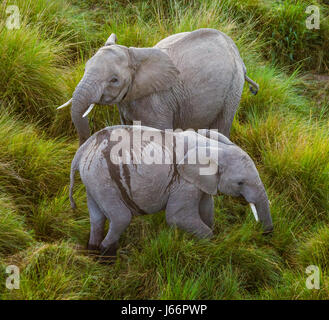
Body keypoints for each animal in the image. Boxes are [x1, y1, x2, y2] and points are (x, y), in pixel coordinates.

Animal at [59, 27, 258, 145]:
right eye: (85, 68)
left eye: (114, 80)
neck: (134, 55)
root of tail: (240, 58)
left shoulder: (157, 103)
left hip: (233, 89)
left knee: (222, 125)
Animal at [70, 125, 272, 258]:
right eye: (240, 183)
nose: (266, 234)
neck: (214, 148)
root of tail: (83, 149)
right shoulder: (184, 182)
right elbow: (177, 217)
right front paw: (209, 245)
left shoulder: (199, 182)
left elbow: (207, 209)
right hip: (102, 177)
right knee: (121, 218)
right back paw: (107, 257)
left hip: (93, 179)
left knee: (97, 217)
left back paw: (93, 252)